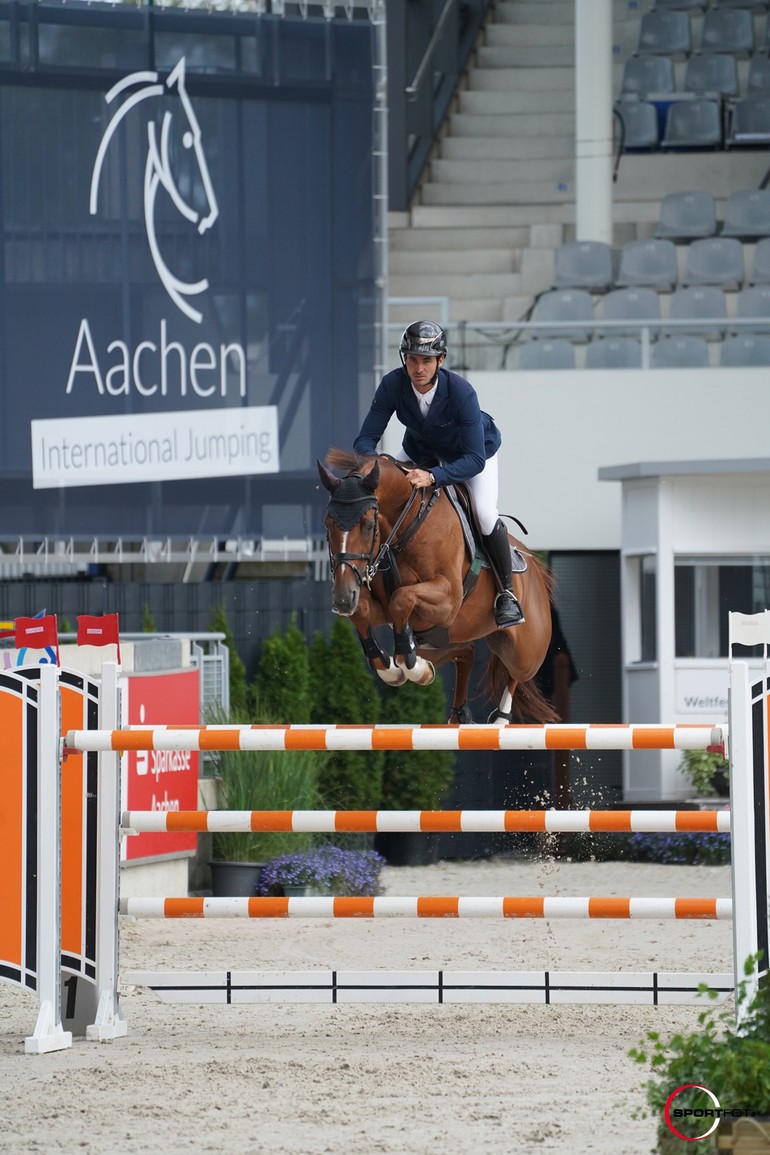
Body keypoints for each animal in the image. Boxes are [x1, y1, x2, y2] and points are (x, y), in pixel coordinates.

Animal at [316, 448, 556, 720]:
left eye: (368, 525)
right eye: (327, 524)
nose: (343, 599)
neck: (406, 525)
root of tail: (534, 564)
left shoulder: (447, 601)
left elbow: (402, 599)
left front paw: (409, 665)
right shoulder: (382, 608)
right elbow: (365, 611)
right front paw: (395, 667)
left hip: (525, 651)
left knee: (516, 674)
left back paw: (500, 719)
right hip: (443, 639)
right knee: (465, 652)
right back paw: (455, 708)